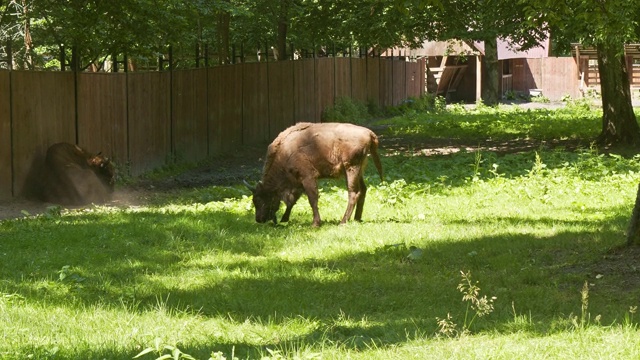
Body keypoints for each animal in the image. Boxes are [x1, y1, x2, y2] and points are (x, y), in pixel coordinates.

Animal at [245, 122, 382, 226]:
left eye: (262, 199)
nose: (259, 219)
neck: (285, 152)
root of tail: (369, 133)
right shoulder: (298, 182)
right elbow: (292, 202)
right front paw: (284, 219)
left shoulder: (308, 178)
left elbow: (312, 199)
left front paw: (315, 223)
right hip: (359, 170)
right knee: (363, 190)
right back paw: (357, 219)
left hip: (351, 169)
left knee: (353, 193)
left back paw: (343, 221)